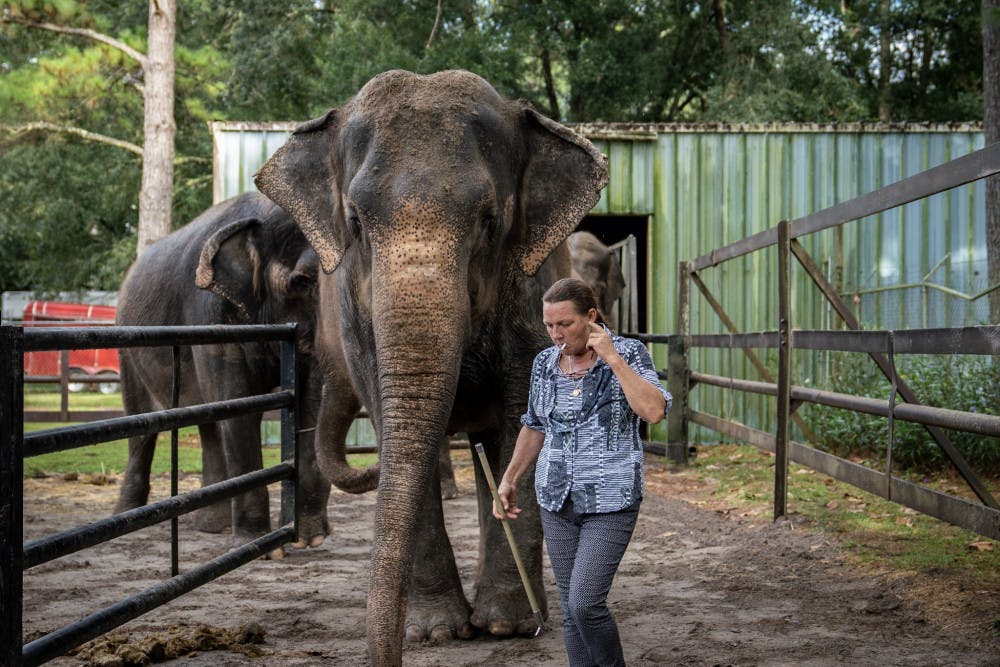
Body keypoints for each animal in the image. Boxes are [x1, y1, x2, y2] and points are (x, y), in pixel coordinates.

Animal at [113, 192, 333, 554]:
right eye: (302, 281)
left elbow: (311, 401)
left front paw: (308, 539)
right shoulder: (211, 312)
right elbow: (237, 404)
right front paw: (261, 546)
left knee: (208, 422)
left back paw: (213, 526)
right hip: (127, 346)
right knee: (142, 423)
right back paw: (128, 520)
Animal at [255, 69, 608, 664]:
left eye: (489, 221)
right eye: (355, 221)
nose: (390, 652)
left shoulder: (529, 295)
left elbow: (522, 420)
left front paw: (504, 627)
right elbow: (389, 417)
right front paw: (436, 633)